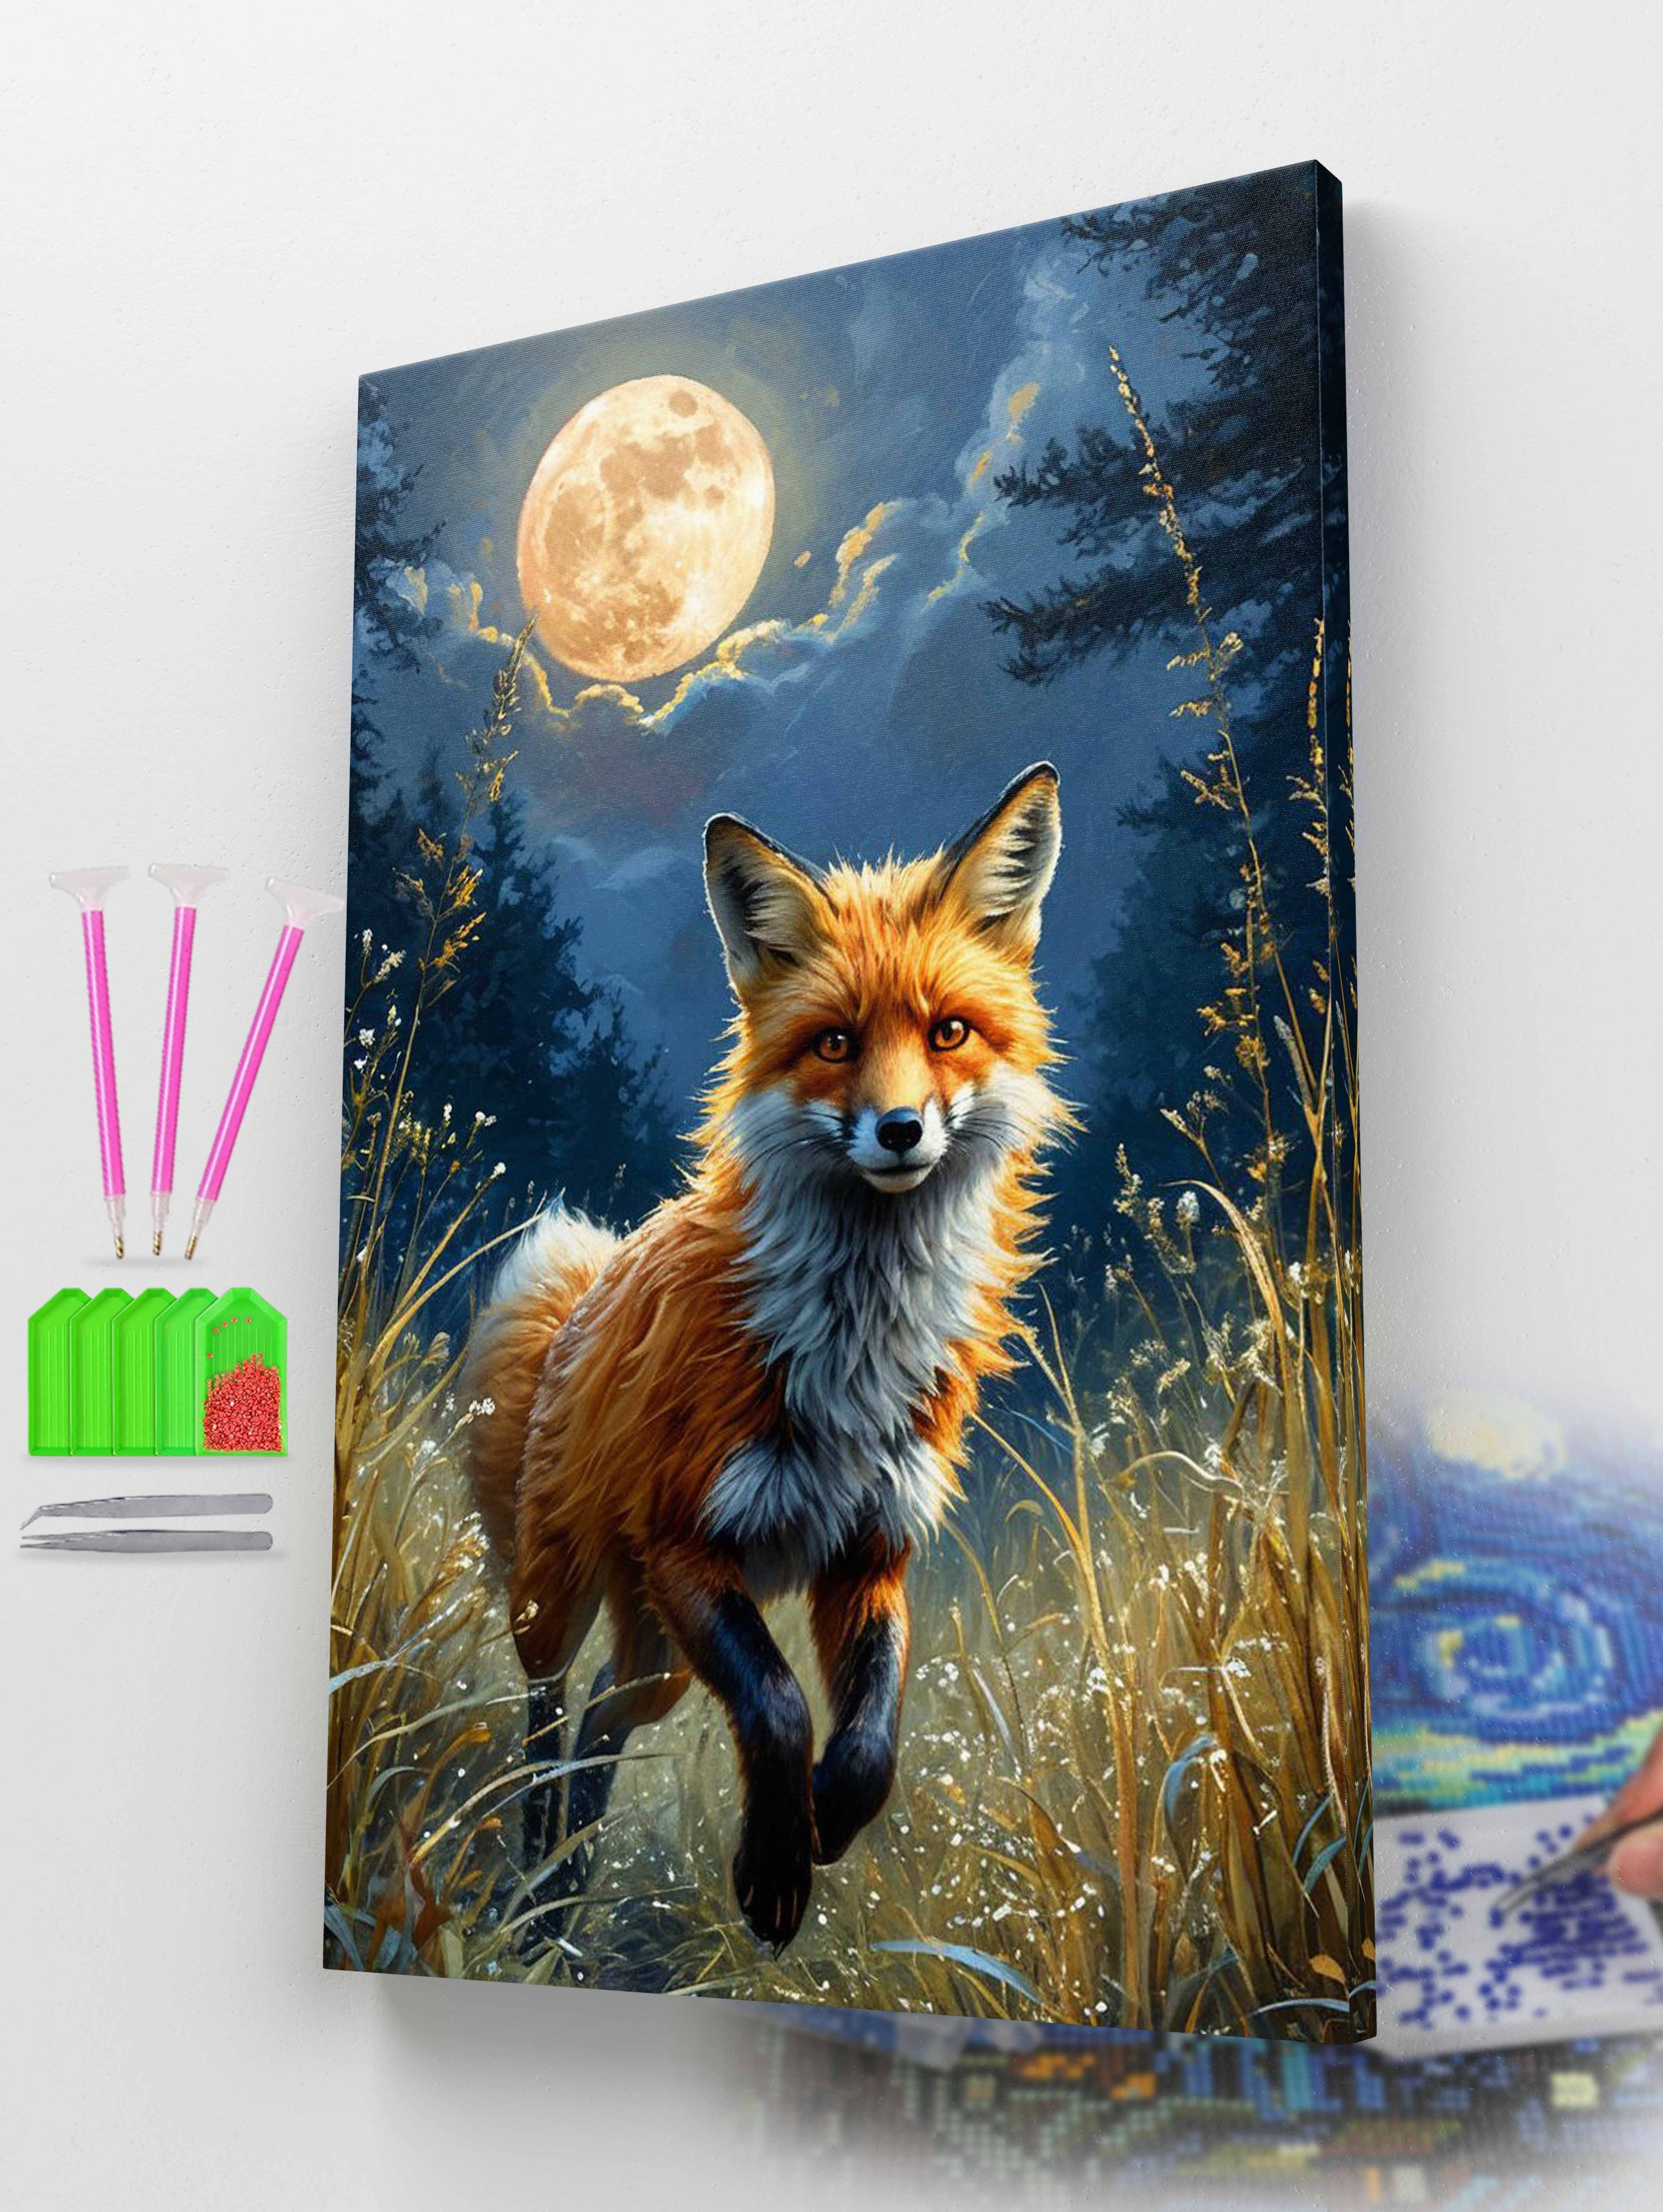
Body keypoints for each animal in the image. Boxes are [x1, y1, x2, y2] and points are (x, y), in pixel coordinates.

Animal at [464, 761, 1067, 1951]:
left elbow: (872, 1735)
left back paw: (567, 1879)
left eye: (949, 1031)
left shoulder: (869, 1549)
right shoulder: (685, 1539)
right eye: (835, 1042)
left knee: (603, 1716)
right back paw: (534, 1877)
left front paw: (826, 1820)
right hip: (563, 1590)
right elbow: (783, 1705)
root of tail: (586, 1290)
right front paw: (774, 1872)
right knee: (546, 1714)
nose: (899, 1129)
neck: (852, 1353)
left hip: (654, 1648)